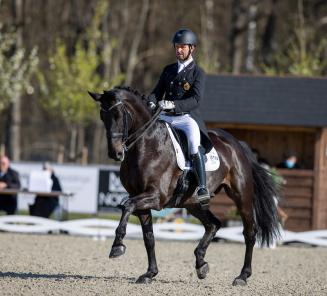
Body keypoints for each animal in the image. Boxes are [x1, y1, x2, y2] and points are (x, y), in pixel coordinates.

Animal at [88, 86, 280, 286]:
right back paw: (201, 264)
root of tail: (237, 145)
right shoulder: (140, 199)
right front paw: (149, 273)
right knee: (213, 224)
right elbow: (149, 237)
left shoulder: (156, 197)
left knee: (249, 232)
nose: (115, 153)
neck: (147, 144)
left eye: (118, 114)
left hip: (241, 196)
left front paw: (117, 246)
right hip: (192, 203)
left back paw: (242, 276)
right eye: (102, 115)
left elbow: (127, 206)